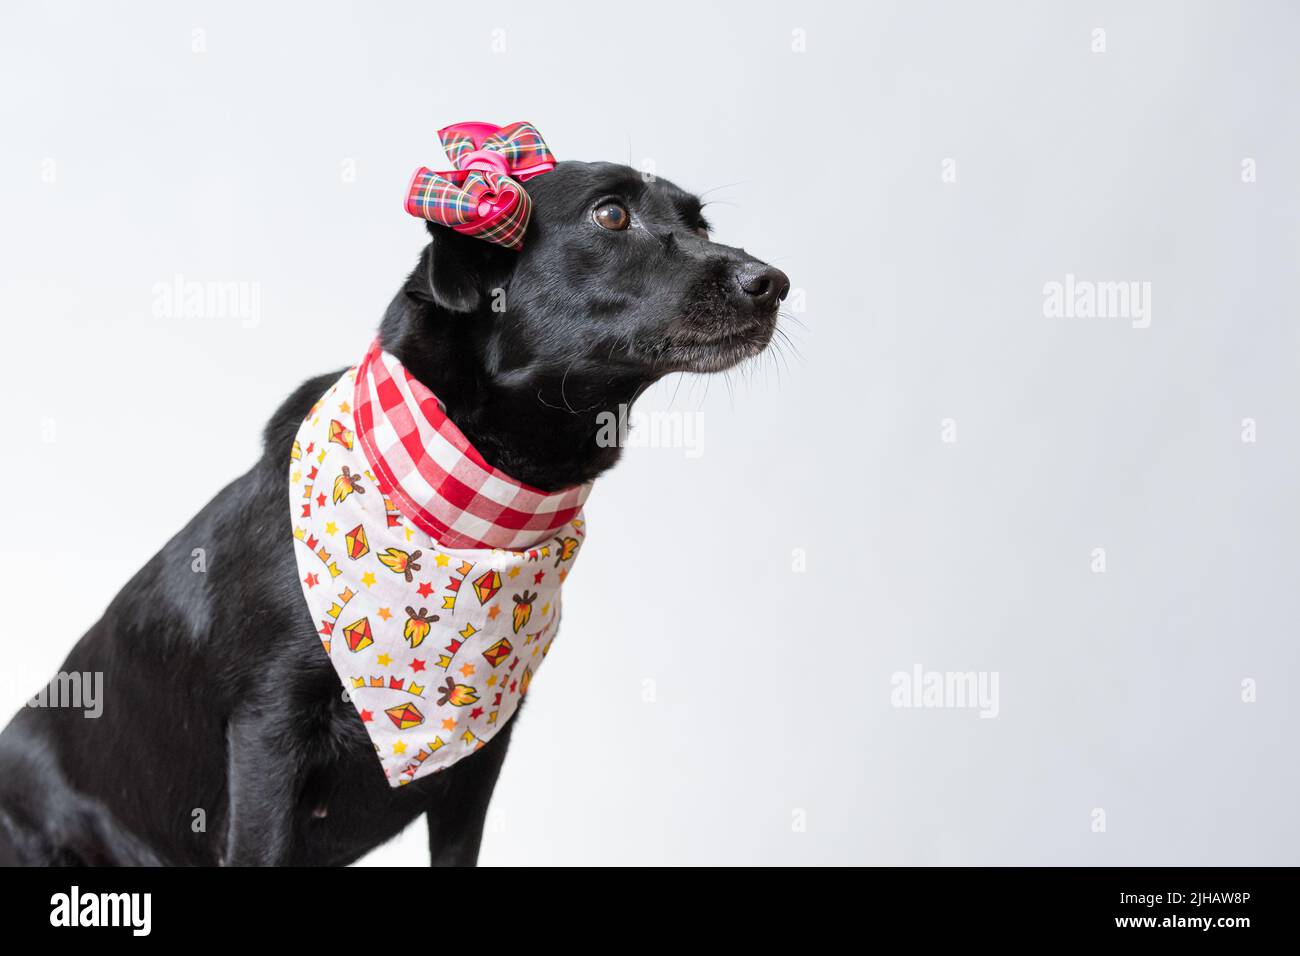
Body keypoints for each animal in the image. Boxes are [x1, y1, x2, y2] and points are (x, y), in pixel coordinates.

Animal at [0, 158, 785, 868]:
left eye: (702, 225)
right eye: (611, 214)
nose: (773, 282)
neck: (474, 506)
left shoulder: (482, 753)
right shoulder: (267, 733)